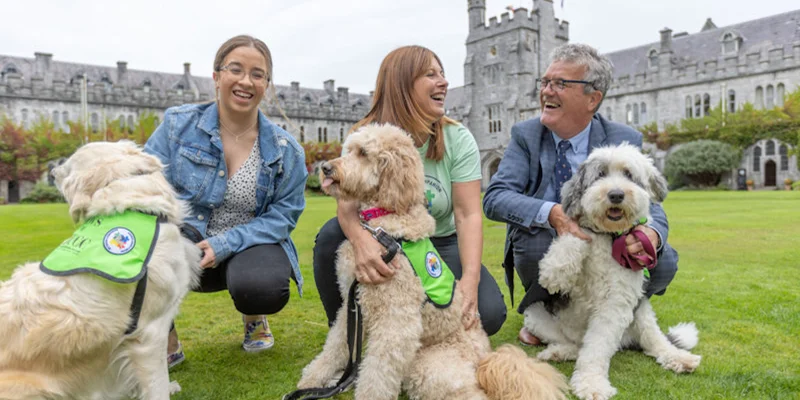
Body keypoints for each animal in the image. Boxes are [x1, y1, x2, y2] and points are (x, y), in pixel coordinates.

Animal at [296, 124, 568, 400]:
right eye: (348, 149)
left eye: (363, 152)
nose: (325, 167)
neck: (385, 227)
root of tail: (484, 357)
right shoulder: (353, 305)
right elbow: (337, 344)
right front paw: (313, 378)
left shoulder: (397, 320)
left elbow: (378, 374)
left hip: (431, 367)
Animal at [528, 142, 704, 400]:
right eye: (600, 174)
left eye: (629, 175)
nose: (616, 195)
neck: (609, 236)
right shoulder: (584, 234)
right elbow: (577, 235)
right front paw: (556, 269)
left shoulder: (614, 304)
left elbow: (597, 349)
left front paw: (591, 384)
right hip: (535, 313)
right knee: (575, 345)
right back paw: (558, 352)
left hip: (641, 315)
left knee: (654, 342)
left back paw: (679, 358)